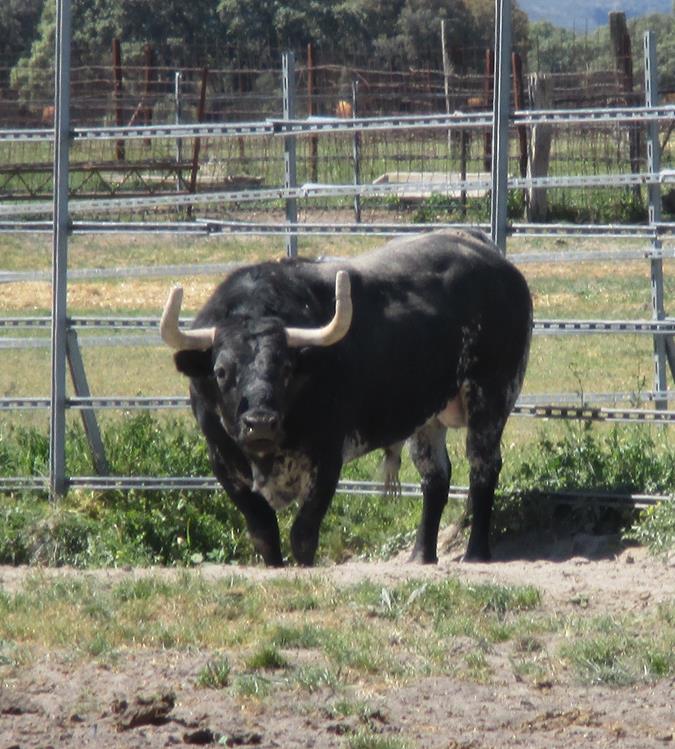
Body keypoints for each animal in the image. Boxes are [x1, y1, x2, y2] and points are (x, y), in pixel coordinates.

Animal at [160, 231, 532, 564]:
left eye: (286, 367)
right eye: (221, 371)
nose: (260, 423)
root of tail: (486, 252)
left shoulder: (327, 459)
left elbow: (303, 534)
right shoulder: (224, 463)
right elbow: (264, 535)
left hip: (492, 397)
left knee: (483, 468)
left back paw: (476, 553)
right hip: (427, 417)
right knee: (435, 477)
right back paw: (420, 557)